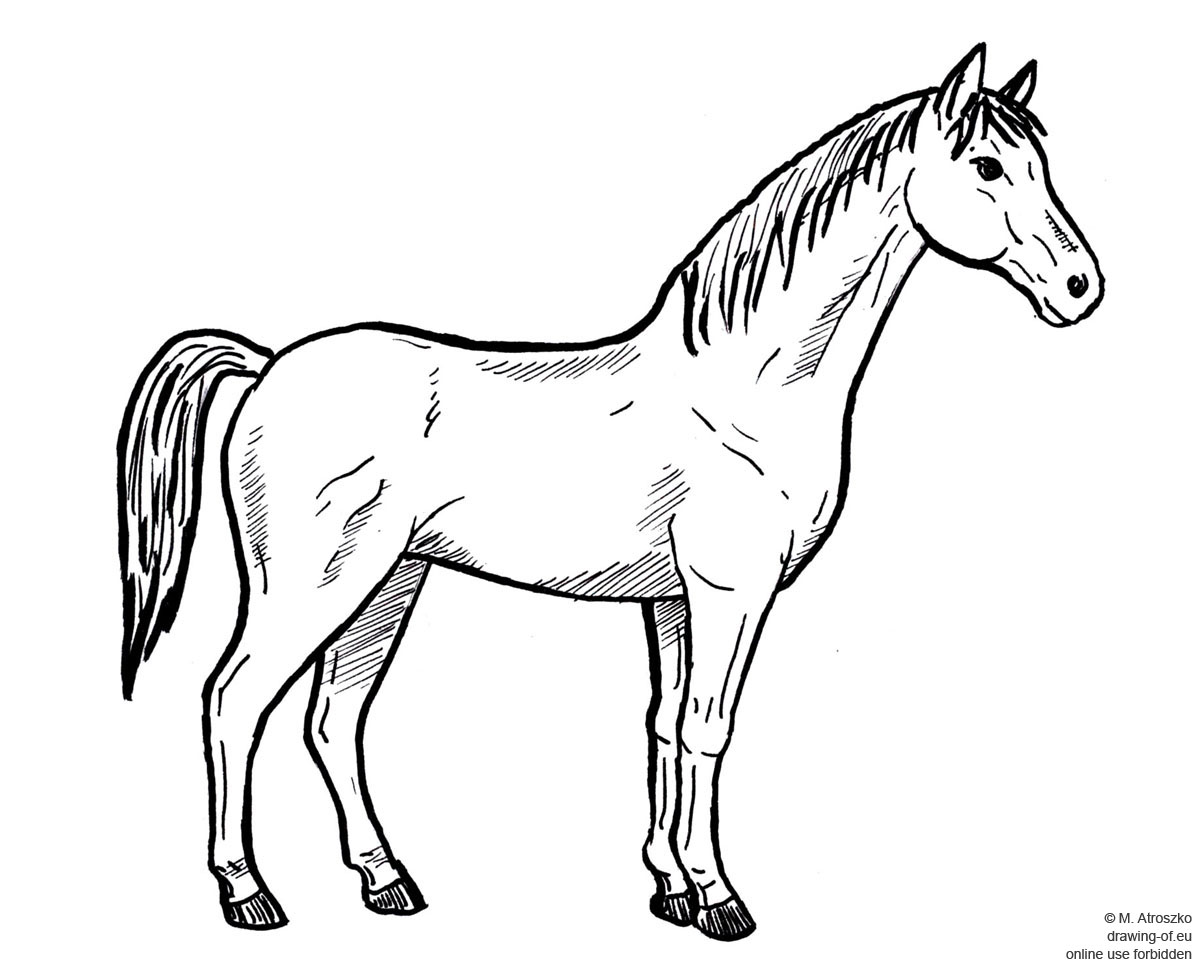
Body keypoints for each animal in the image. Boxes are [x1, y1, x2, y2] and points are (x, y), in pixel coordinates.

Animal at [117, 44, 1103, 940]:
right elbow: (706, 728)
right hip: (311, 586)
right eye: (987, 166)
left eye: (1040, 162)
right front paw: (720, 897)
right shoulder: (730, 591)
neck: (742, 389)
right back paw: (247, 893)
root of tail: (267, 367)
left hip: (388, 581)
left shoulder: (671, 599)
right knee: (233, 701)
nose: (1081, 287)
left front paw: (670, 886)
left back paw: (387, 879)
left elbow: (663, 725)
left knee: (334, 720)